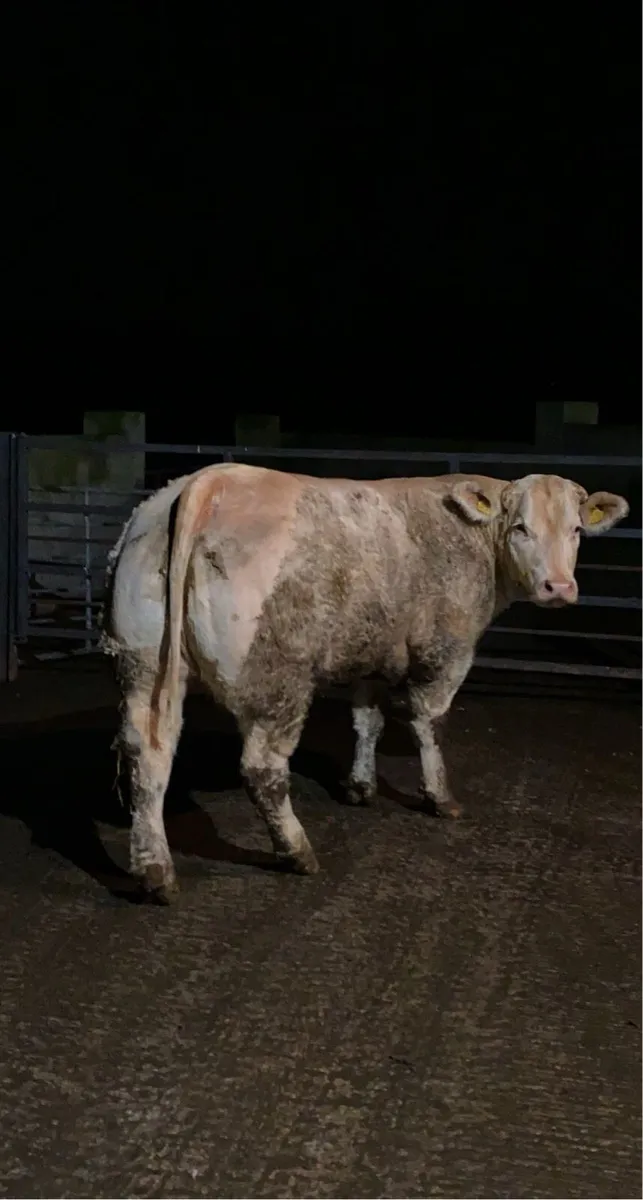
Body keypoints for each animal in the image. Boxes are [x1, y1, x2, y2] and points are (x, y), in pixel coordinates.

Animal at [100, 463, 629, 902]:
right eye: (521, 528)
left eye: (576, 529)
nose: (559, 587)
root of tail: (207, 483)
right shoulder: (446, 652)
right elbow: (428, 725)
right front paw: (440, 798)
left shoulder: (372, 656)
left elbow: (366, 720)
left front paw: (360, 787)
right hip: (277, 680)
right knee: (262, 770)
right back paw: (298, 852)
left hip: (143, 661)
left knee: (147, 757)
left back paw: (155, 872)